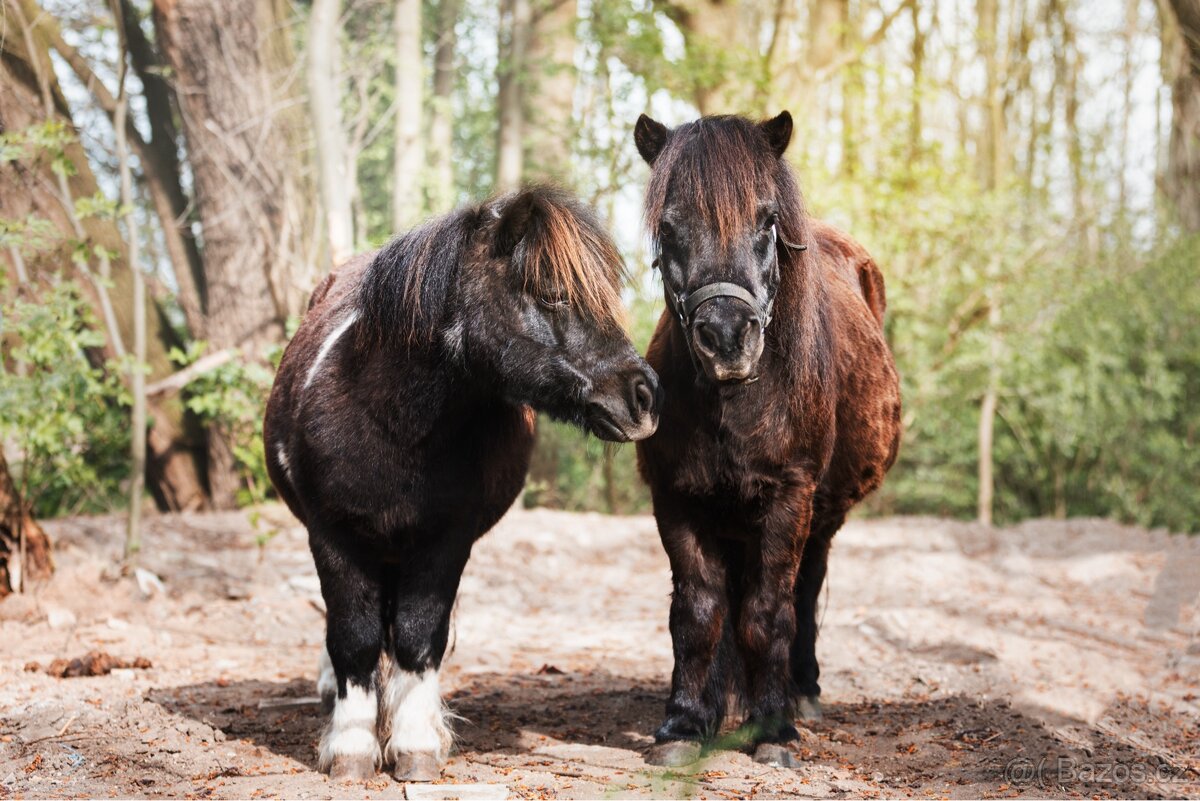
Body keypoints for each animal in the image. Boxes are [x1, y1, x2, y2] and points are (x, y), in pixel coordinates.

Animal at [263, 185, 661, 782]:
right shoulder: (333, 537)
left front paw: (414, 744)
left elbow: (417, 635)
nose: (644, 397)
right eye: (551, 294)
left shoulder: (444, 542)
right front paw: (352, 748)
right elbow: (353, 638)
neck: (390, 425)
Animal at [632, 112, 901, 767]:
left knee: (805, 591)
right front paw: (685, 724)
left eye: (768, 220)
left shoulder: (788, 499)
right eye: (668, 227)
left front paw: (773, 728)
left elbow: (768, 612)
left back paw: (801, 694)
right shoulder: (676, 500)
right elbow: (698, 613)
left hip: (822, 519)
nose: (727, 336)